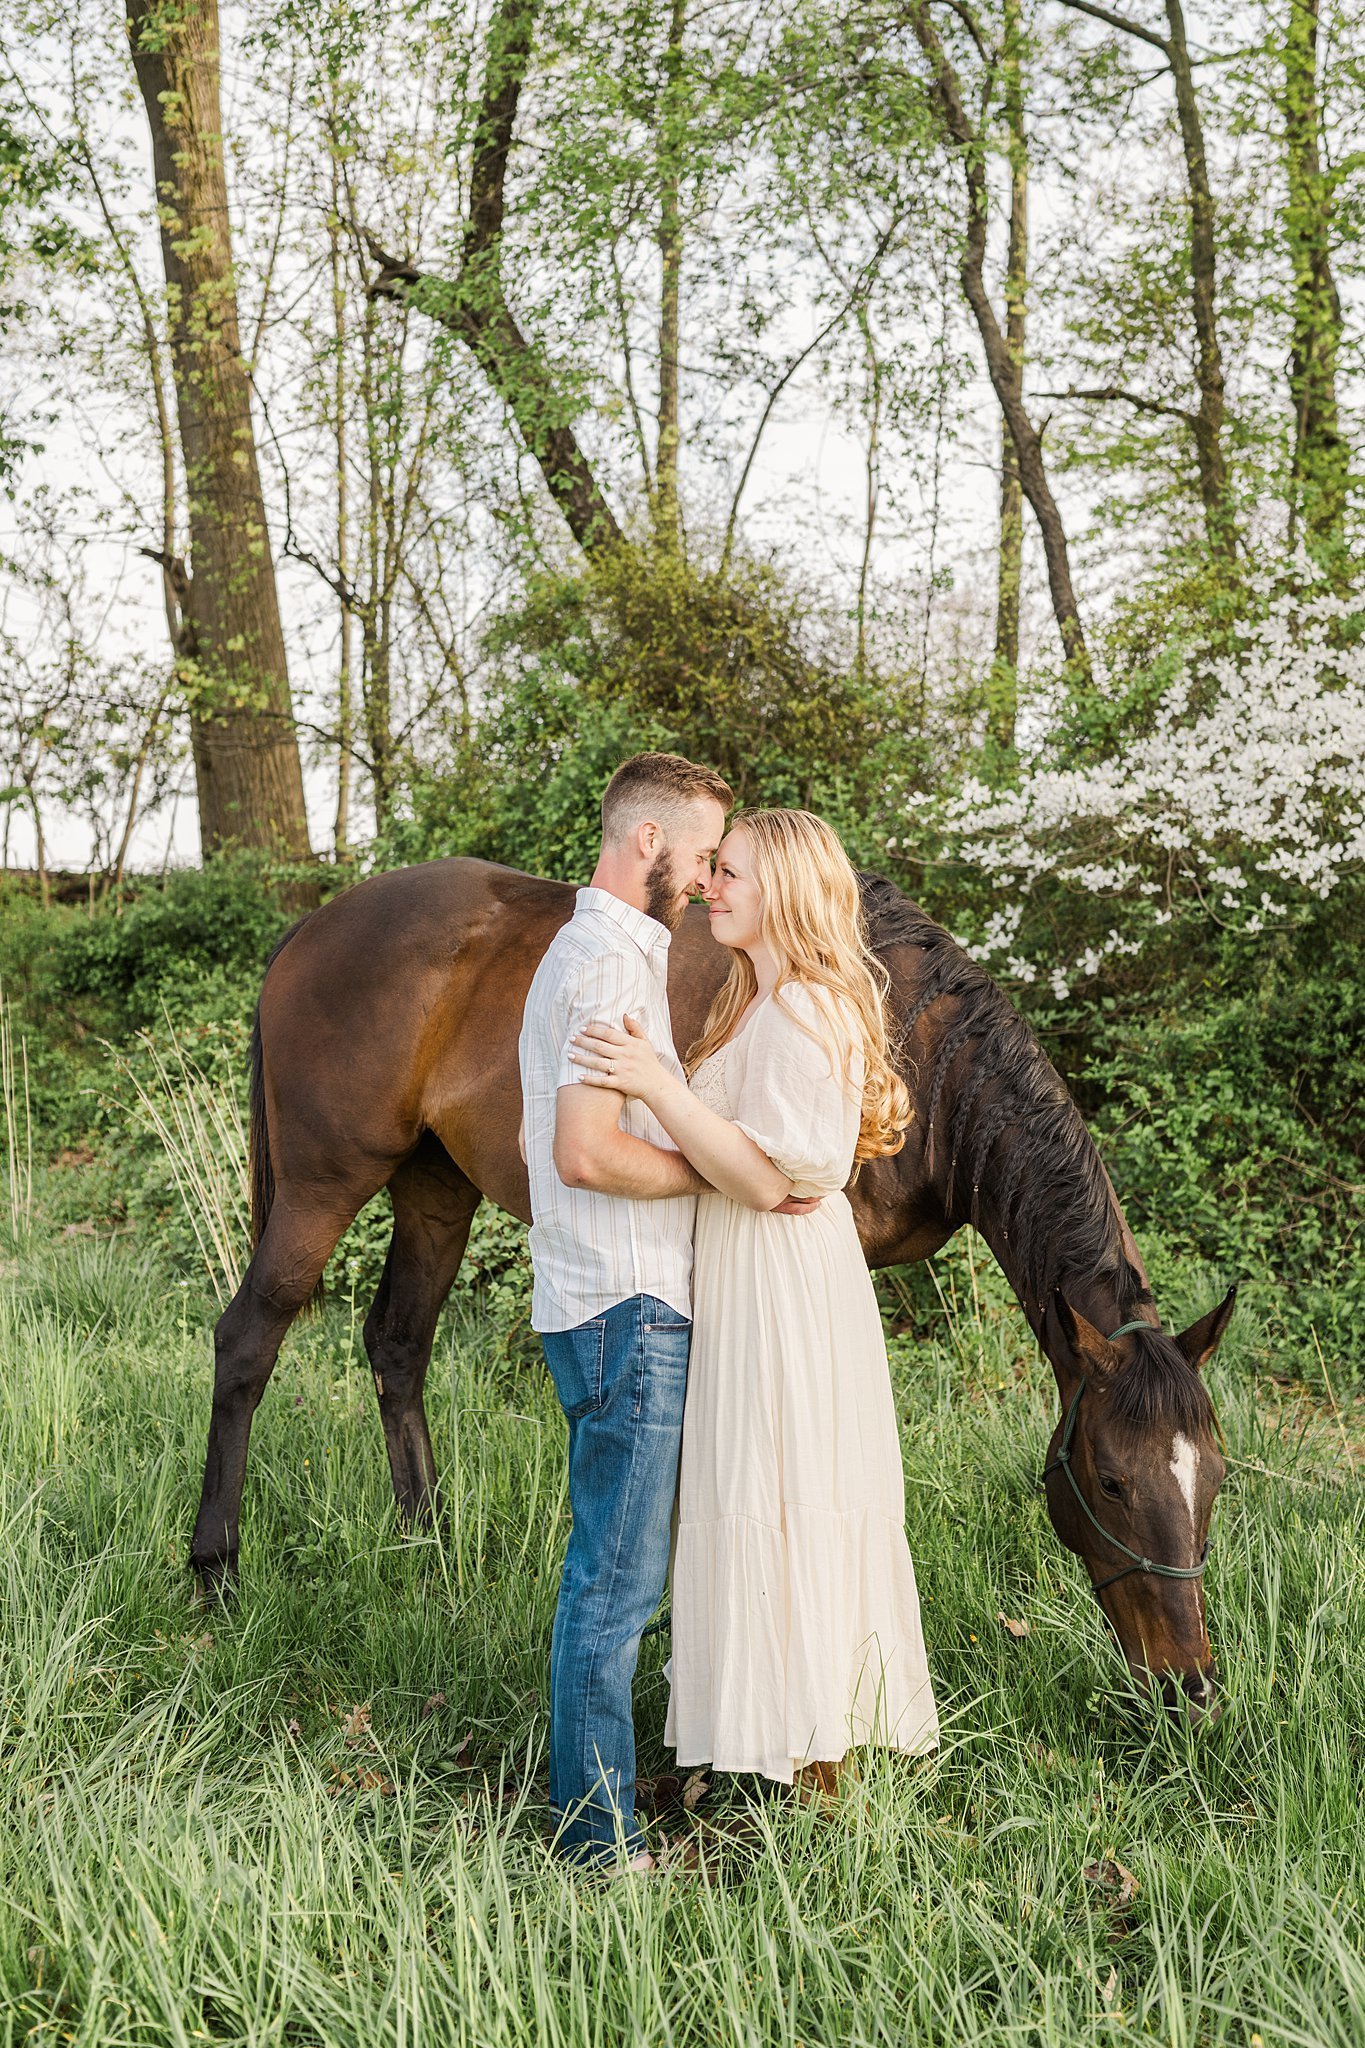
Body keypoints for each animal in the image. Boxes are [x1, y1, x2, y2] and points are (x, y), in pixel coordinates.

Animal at [194, 856, 1236, 1720]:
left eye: (1215, 1478)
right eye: (1110, 1479)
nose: (1187, 1686)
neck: (915, 1046)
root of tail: (315, 924)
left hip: (432, 1190)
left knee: (398, 1345)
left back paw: (429, 1553)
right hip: (324, 1187)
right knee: (248, 1339)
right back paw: (215, 1574)